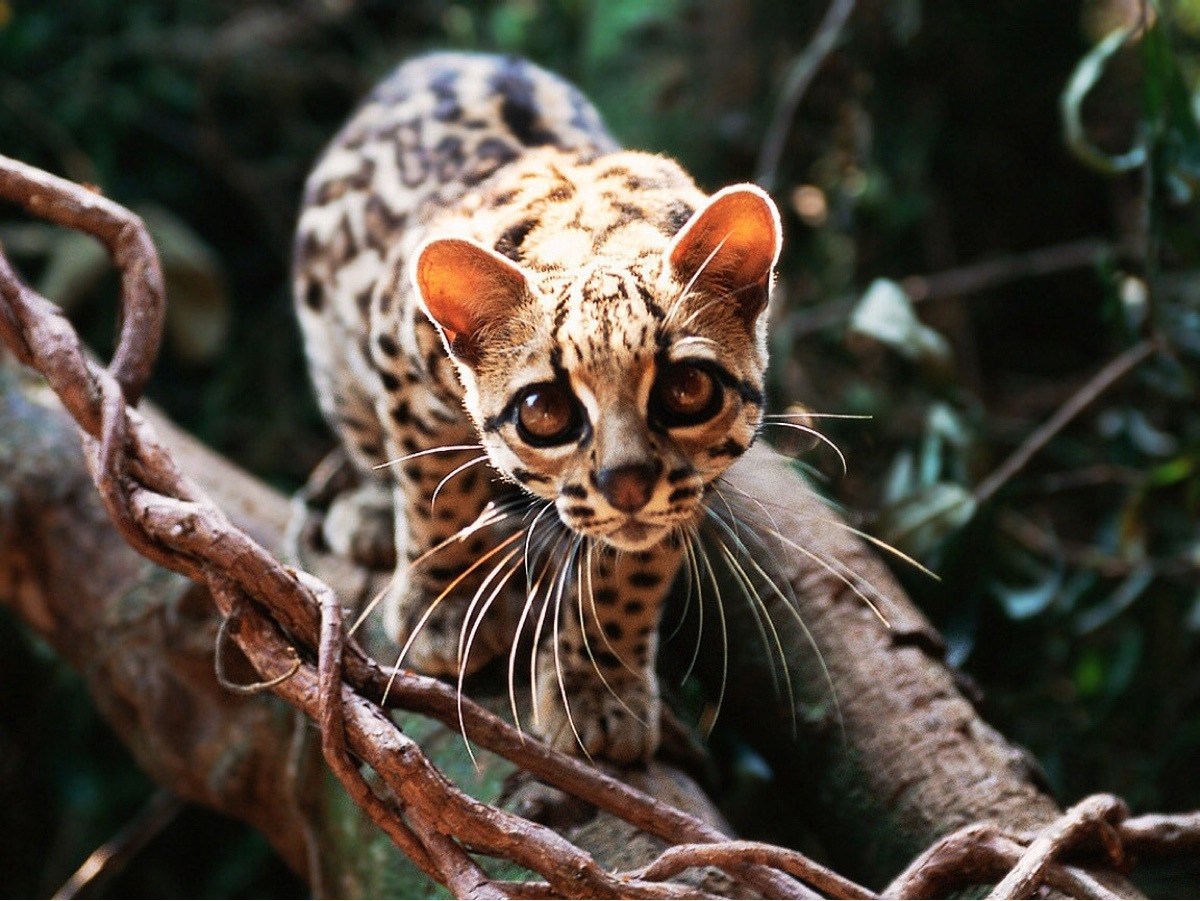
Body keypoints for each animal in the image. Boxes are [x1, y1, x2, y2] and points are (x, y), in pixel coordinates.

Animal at [289, 52, 777, 763]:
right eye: (544, 410)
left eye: (688, 390)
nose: (628, 485)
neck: (596, 241)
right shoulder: (396, 358)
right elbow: (434, 493)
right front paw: (445, 610)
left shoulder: (693, 480)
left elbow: (631, 567)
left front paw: (602, 686)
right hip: (330, 346)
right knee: (364, 437)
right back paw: (375, 514)